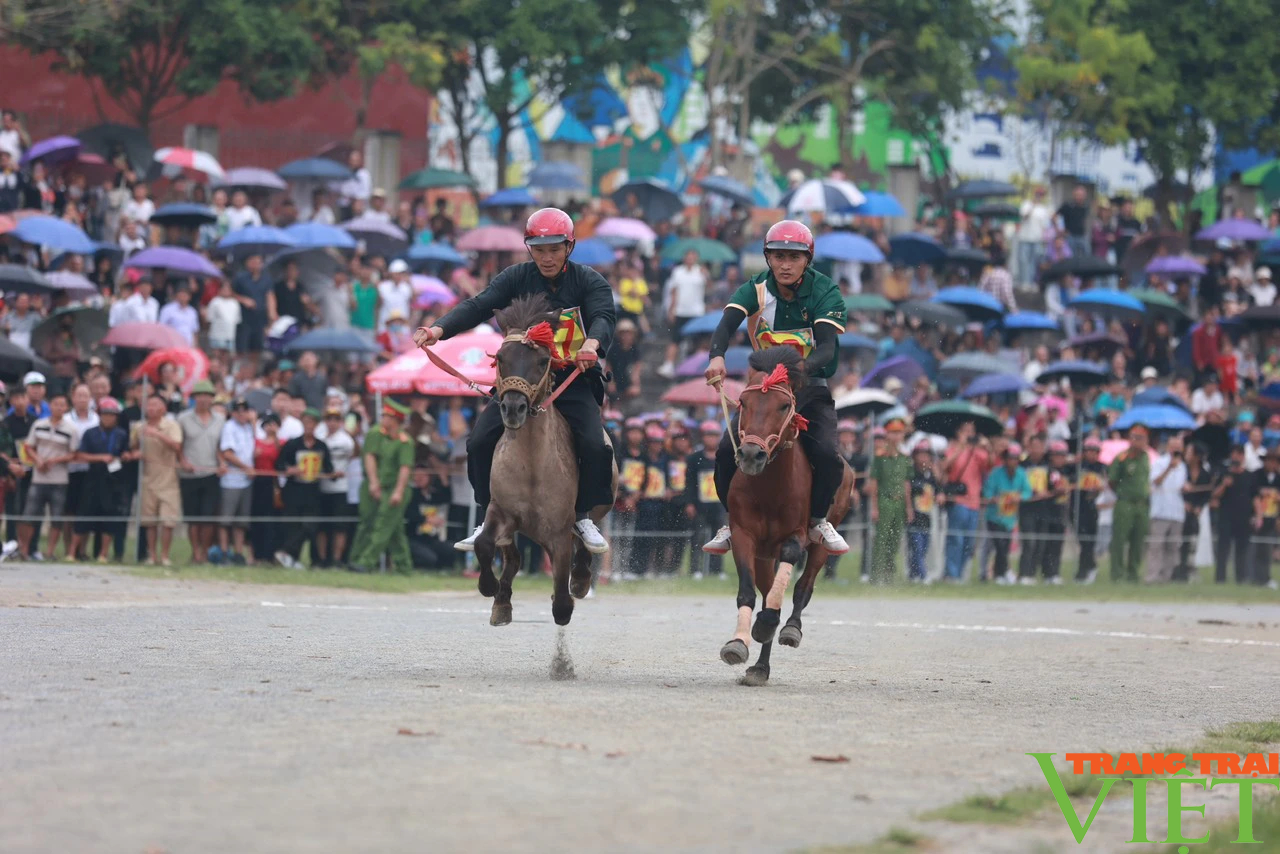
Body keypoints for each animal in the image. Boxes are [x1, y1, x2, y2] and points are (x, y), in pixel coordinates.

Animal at [473, 297, 616, 624]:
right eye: (500, 358)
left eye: (541, 361)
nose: (513, 408)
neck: (532, 467)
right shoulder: (501, 511)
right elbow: (484, 544)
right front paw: (490, 588)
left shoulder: (559, 533)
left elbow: (562, 600)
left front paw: (570, 590)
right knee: (512, 557)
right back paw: (502, 601)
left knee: (584, 544)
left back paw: (581, 578)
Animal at [716, 343, 855, 686]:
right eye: (743, 402)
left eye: (783, 405)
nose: (751, 454)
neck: (769, 488)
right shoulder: (745, 535)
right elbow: (747, 593)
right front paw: (738, 643)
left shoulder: (796, 535)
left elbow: (791, 560)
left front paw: (769, 623)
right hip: (764, 555)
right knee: (769, 591)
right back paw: (760, 666)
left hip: (823, 540)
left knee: (804, 587)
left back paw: (790, 628)